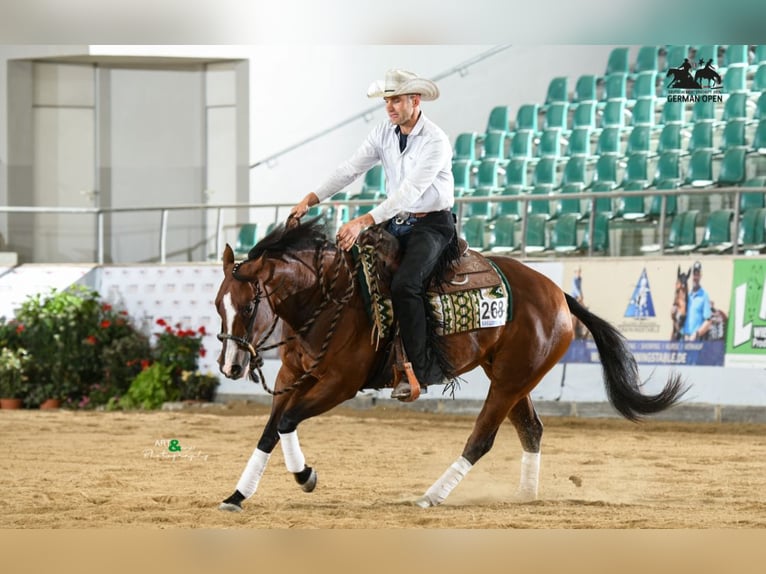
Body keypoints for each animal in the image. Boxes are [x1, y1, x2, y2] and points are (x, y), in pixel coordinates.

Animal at [216, 218, 688, 510]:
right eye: (219, 305)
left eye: (248, 306)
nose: (231, 367)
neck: (330, 299)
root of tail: (558, 293)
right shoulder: (292, 375)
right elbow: (270, 430)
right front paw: (238, 495)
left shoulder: (339, 384)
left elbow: (287, 421)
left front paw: (305, 476)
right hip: (513, 379)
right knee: (531, 430)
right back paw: (525, 496)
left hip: (509, 382)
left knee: (480, 440)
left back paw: (431, 496)